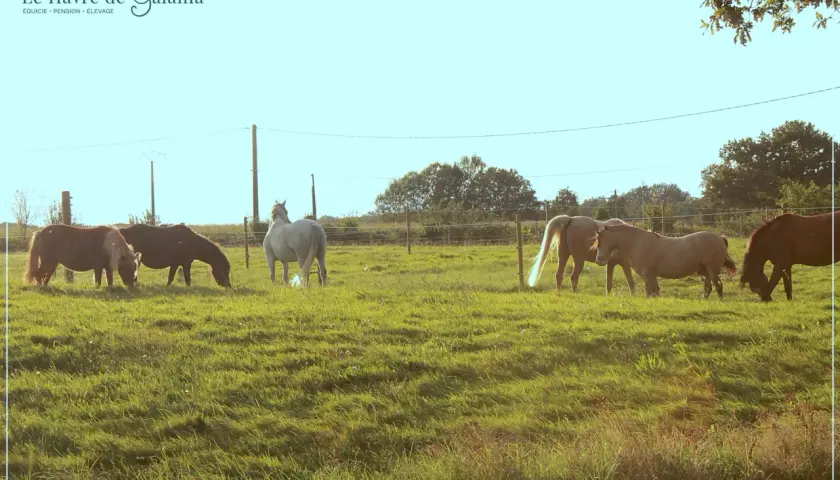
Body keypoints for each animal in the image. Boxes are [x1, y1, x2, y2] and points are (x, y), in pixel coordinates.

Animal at [591, 223, 737, 298]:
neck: (637, 243)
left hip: (712, 270)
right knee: (709, 287)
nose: (599, 260)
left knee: (718, 286)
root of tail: (720, 238)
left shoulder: (648, 274)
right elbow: (655, 291)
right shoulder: (651, 275)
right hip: (705, 272)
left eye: (599, 241)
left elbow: (650, 292)